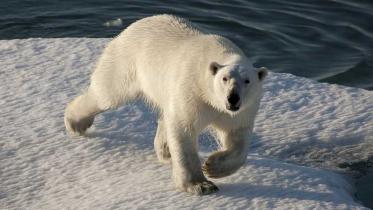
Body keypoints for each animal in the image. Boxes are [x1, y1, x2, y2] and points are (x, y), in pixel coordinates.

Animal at [64, 14, 268, 195]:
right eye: (224, 78)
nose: (232, 98)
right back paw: (75, 122)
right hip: (127, 62)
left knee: (165, 115)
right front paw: (200, 185)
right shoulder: (193, 92)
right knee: (107, 93)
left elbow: (237, 138)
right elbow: (184, 128)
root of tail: (135, 24)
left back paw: (165, 152)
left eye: (247, 81)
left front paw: (212, 166)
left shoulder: (240, 111)